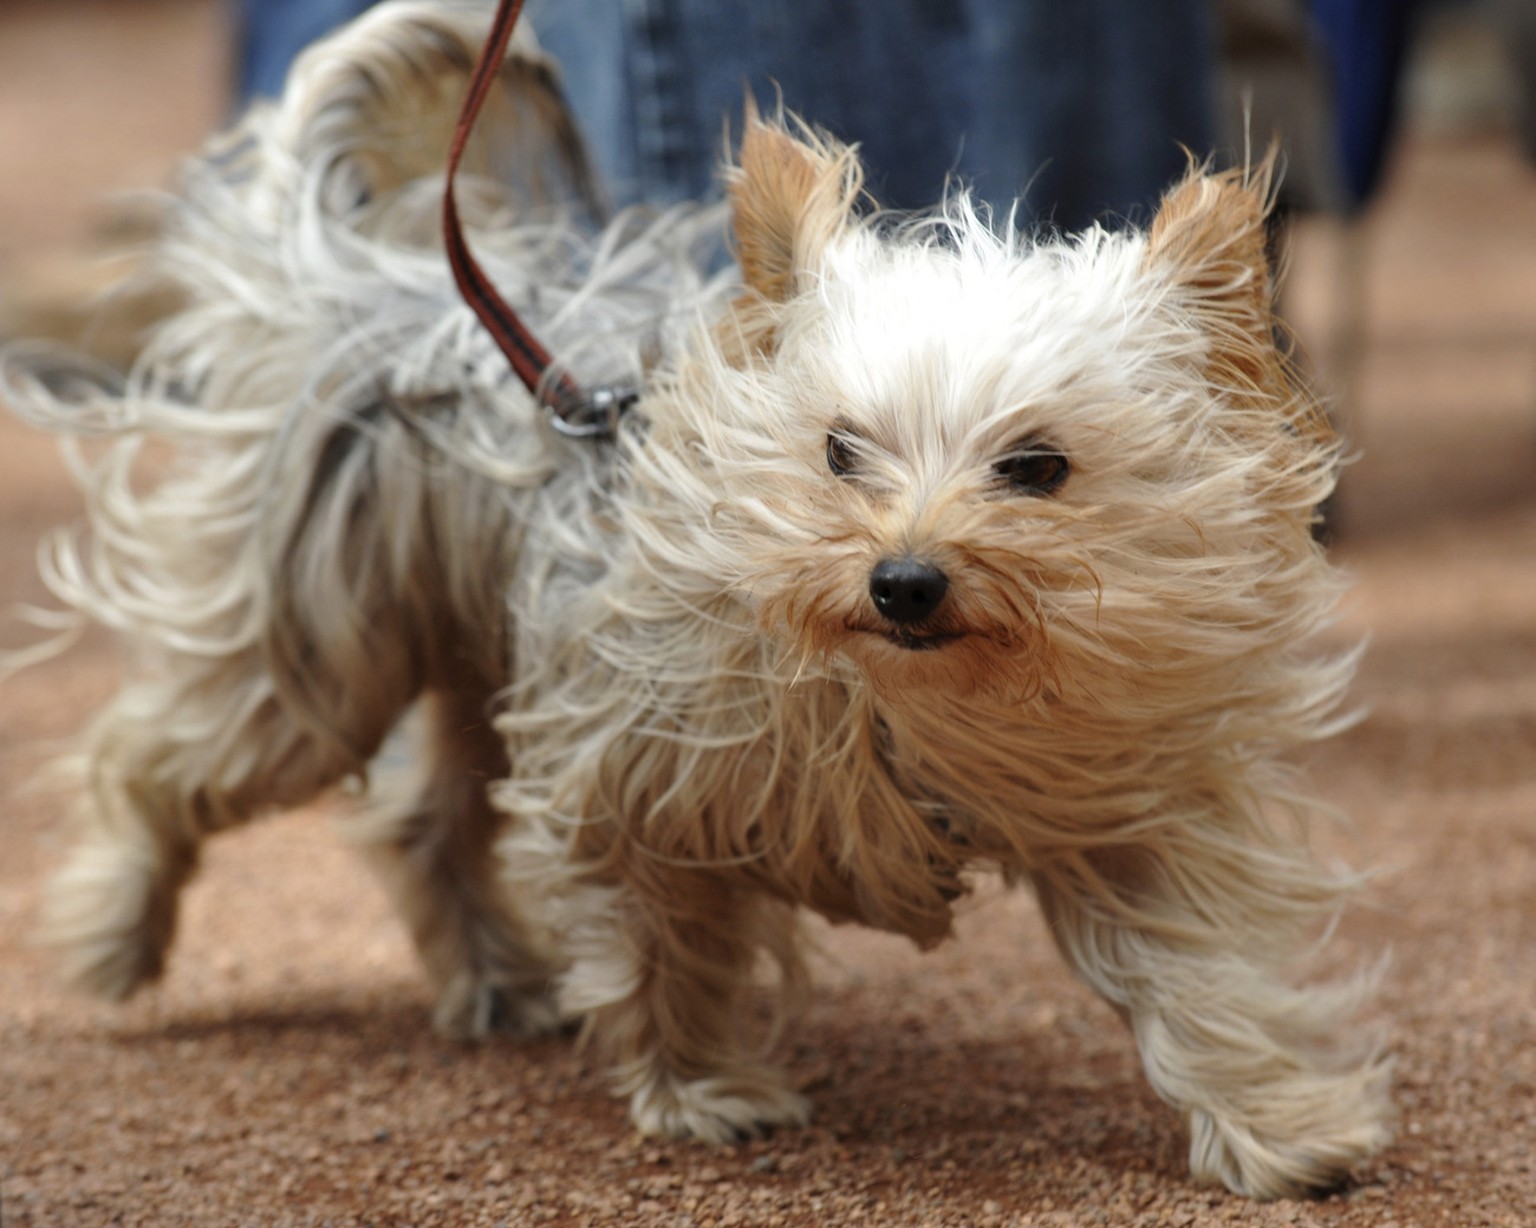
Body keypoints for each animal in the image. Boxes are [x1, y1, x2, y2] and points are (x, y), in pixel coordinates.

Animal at [3, 0, 1394, 1198]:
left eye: (1038, 467)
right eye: (839, 452)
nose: (902, 579)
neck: (905, 692)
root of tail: (355, 277)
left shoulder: (1126, 807)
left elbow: (1202, 974)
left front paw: (1277, 1127)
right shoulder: (632, 777)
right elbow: (663, 944)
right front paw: (698, 1090)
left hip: (474, 648)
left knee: (422, 818)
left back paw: (495, 978)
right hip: (316, 658)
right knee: (154, 765)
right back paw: (116, 936)